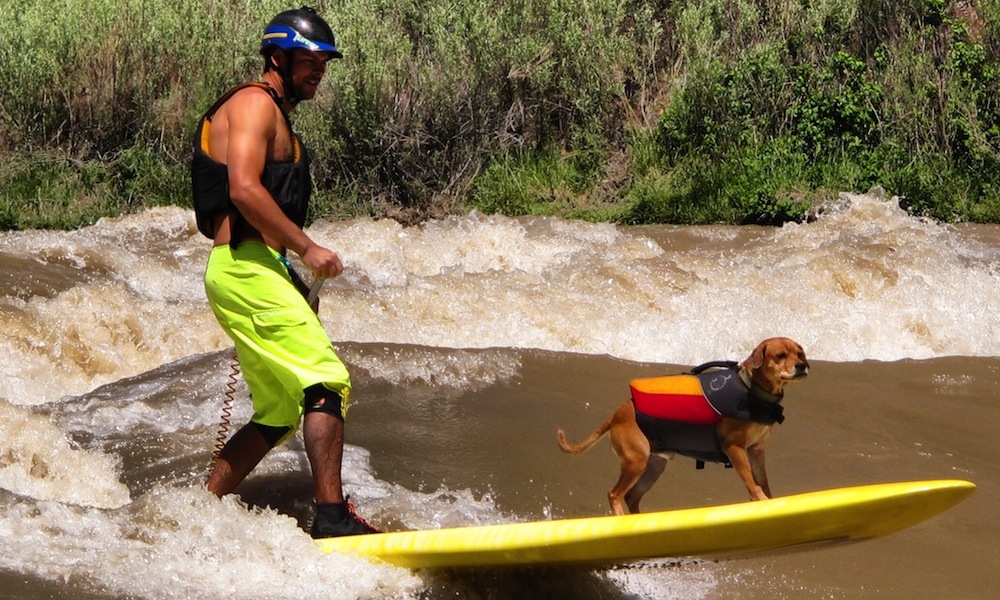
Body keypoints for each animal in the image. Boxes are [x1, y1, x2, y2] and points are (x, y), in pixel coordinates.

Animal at [560, 338, 808, 516]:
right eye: (780, 355)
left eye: (800, 353)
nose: (802, 366)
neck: (752, 390)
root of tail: (616, 413)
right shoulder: (735, 448)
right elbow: (751, 480)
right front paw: (760, 499)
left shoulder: (756, 449)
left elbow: (762, 480)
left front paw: (769, 499)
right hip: (636, 460)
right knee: (614, 494)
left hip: (654, 466)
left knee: (631, 497)